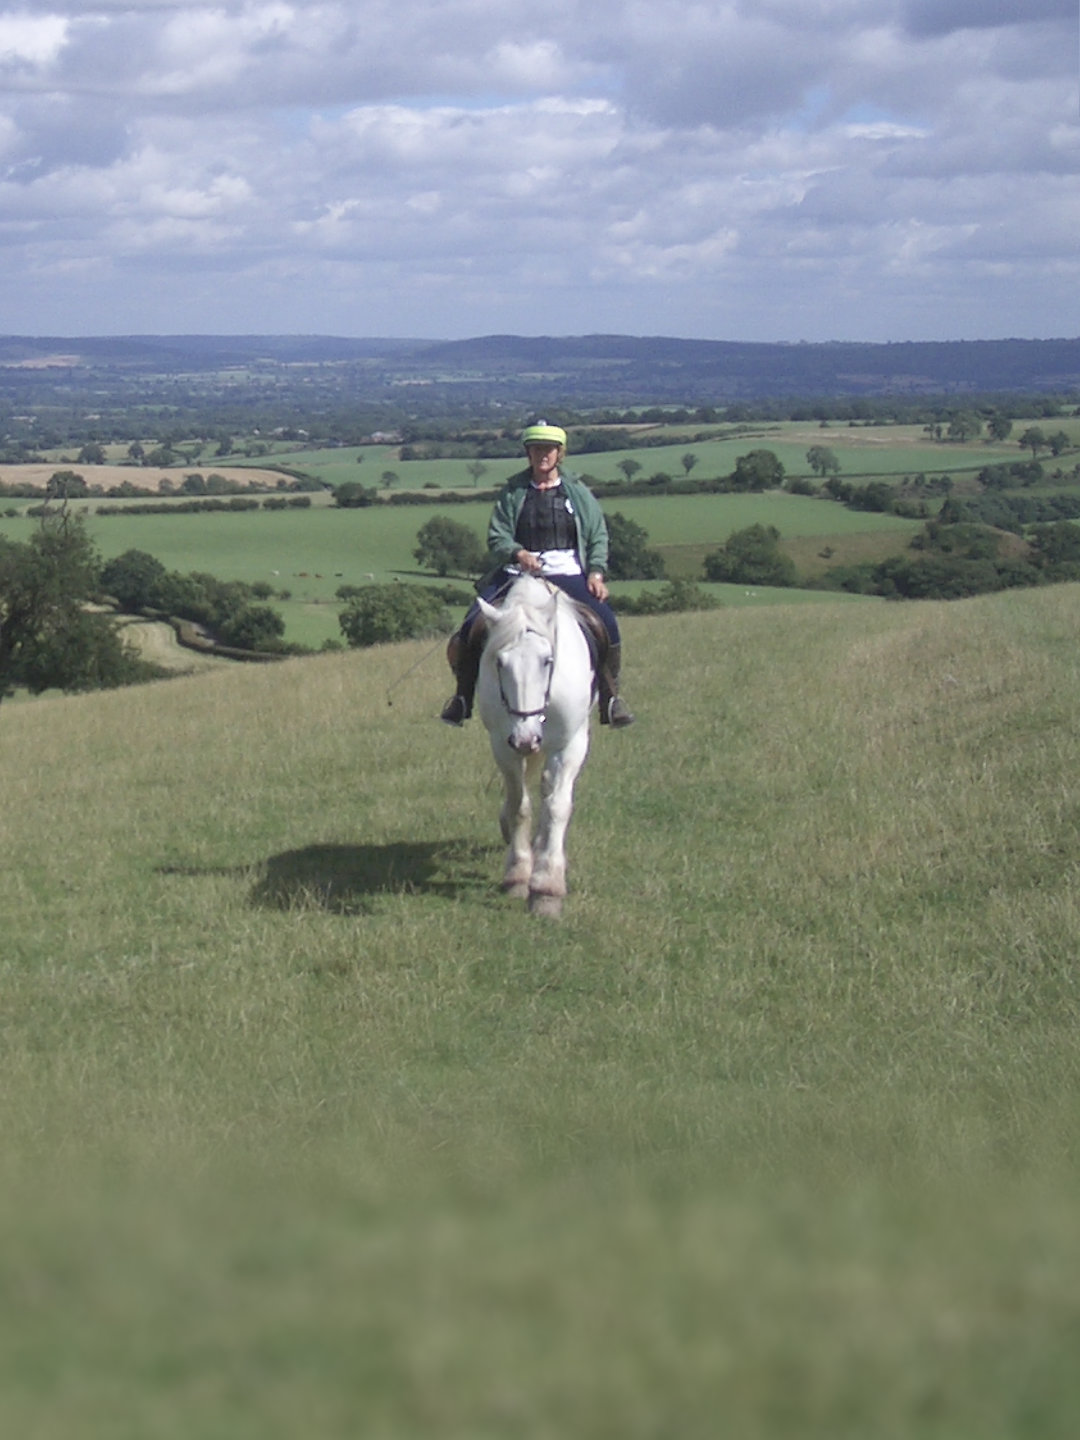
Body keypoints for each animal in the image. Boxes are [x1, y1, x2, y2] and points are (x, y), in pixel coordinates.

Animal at [475, 575, 595, 918]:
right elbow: (519, 805)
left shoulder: (570, 744)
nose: (526, 738)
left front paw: (547, 888)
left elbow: (556, 807)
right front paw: (518, 875)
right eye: (500, 662)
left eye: (547, 660)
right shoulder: (503, 744)